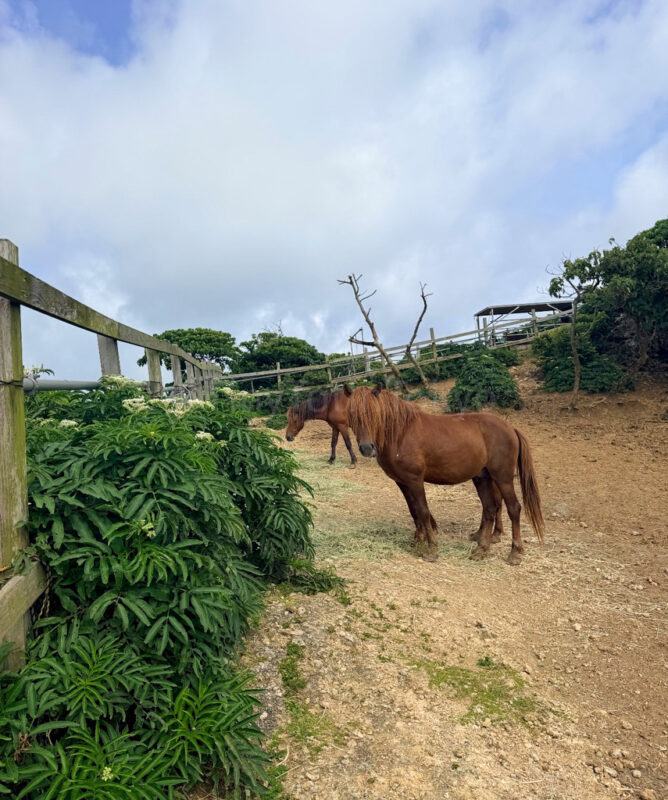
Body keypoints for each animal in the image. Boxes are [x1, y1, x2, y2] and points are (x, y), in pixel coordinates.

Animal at [344, 384, 544, 564]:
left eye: (374, 414)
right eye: (352, 415)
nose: (366, 448)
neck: (400, 433)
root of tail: (510, 428)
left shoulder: (415, 480)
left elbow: (423, 511)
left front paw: (431, 548)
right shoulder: (402, 482)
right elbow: (413, 511)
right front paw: (418, 541)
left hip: (502, 478)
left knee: (513, 508)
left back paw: (514, 552)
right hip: (483, 478)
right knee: (489, 509)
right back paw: (482, 548)